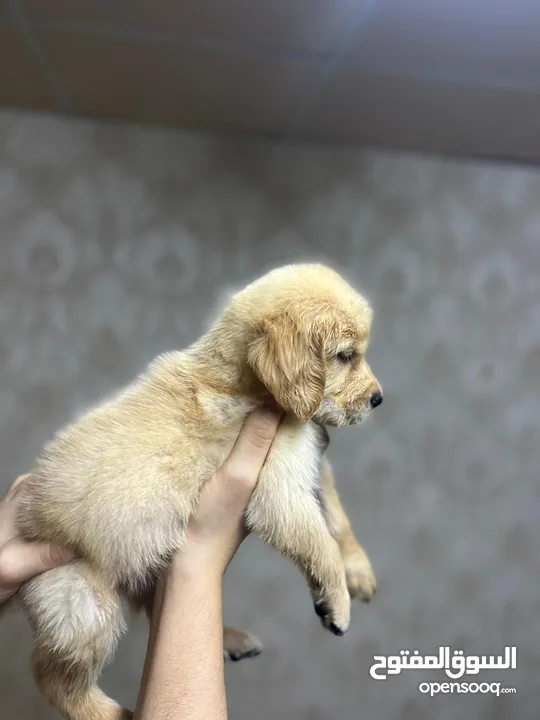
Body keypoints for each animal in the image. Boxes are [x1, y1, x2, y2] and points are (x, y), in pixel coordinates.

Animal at [14, 264, 382, 720]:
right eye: (346, 356)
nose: (378, 399)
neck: (244, 381)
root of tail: (26, 524)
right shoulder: (279, 493)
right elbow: (321, 545)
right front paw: (338, 602)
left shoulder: (312, 464)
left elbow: (337, 518)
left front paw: (359, 573)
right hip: (84, 607)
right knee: (53, 679)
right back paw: (115, 713)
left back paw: (228, 639)